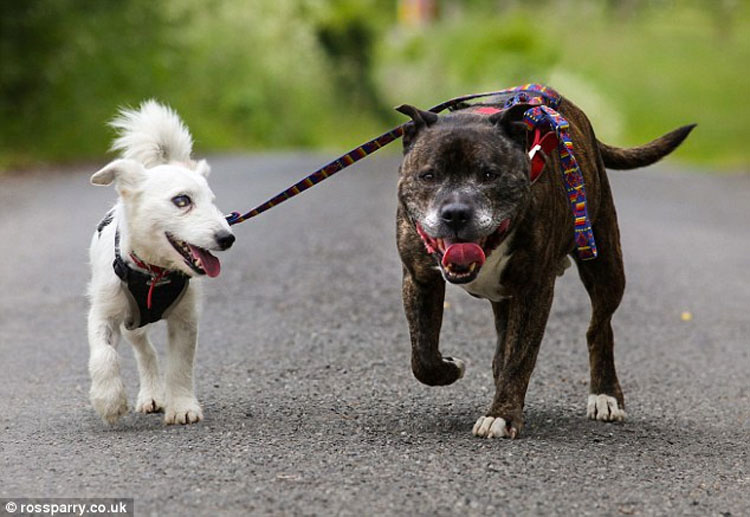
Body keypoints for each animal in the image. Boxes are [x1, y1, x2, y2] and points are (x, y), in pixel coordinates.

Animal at [88, 101, 235, 424]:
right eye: (182, 201)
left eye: (212, 201)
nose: (227, 237)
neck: (154, 271)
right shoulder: (103, 312)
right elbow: (103, 355)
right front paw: (109, 400)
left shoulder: (185, 320)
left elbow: (180, 366)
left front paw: (182, 407)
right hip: (133, 323)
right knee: (146, 352)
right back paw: (150, 395)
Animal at [396, 90, 696, 438]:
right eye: (428, 175)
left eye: (489, 174)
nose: (456, 213)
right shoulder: (419, 279)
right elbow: (422, 356)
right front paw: (450, 367)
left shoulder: (534, 289)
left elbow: (520, 356)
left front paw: (501, 415)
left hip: (605, 265)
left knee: (599, 328)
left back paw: (605, 395)